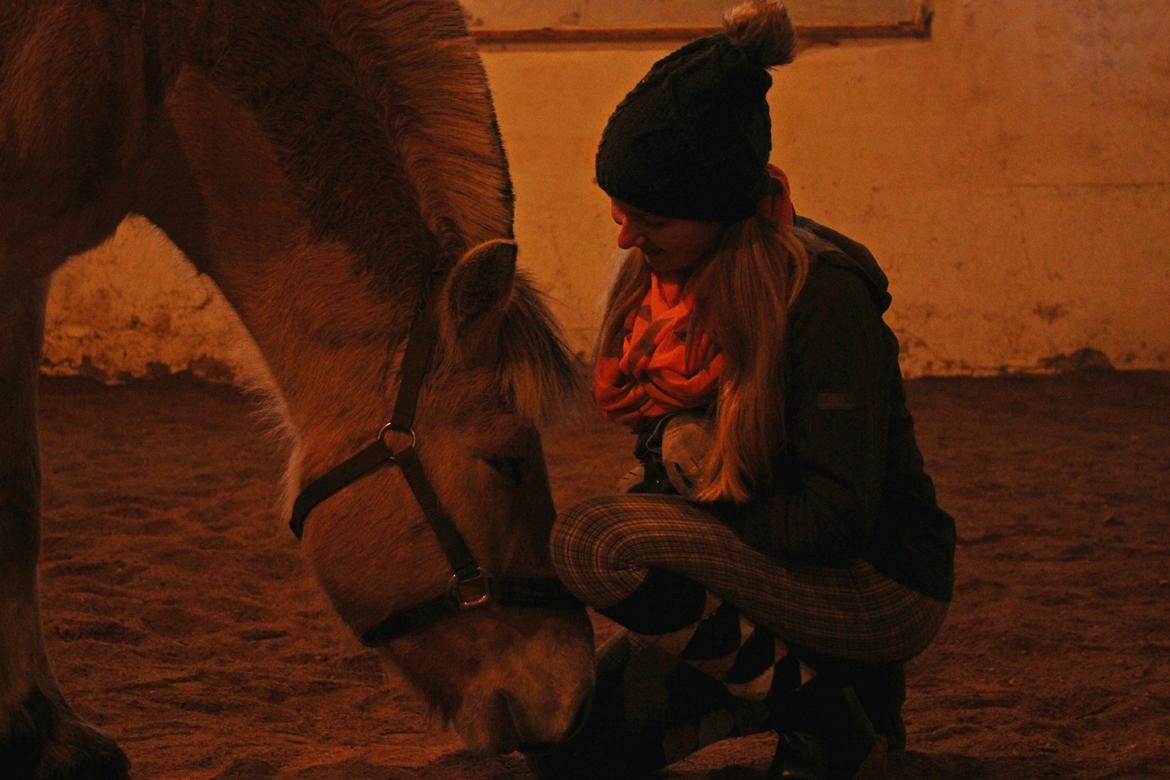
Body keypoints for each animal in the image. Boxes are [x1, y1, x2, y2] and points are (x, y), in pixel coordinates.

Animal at [0, 1, 599, 776]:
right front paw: (34, 727)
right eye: (507, 461)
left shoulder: (28, 276)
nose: (576, 700)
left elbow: (23, 498)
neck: (148, 43)